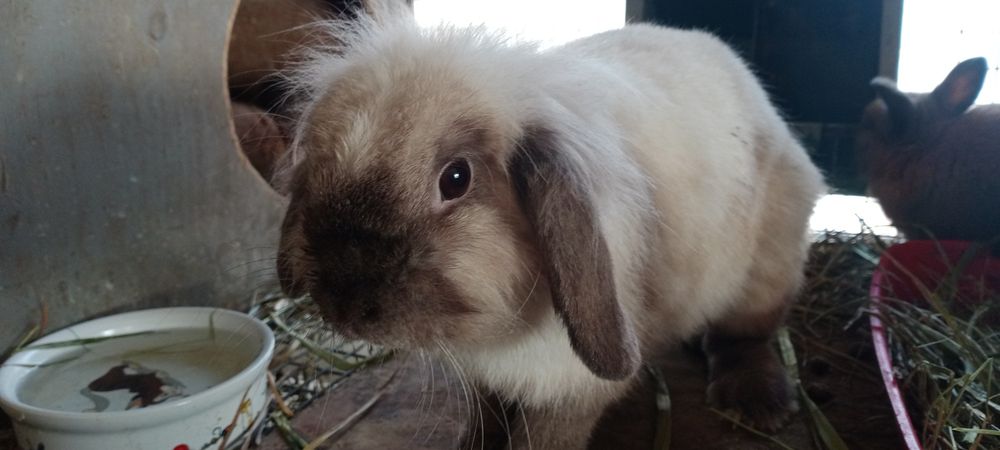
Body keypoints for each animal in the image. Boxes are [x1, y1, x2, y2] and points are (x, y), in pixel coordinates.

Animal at [273, 6, 825, 449]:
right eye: (317, 169)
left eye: (456, 178)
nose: (343, 307)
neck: (496, 336)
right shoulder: (484, 383)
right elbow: (486, 421)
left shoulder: (572, 387)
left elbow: (541, 438)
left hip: (767, 270)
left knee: (746, 336)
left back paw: (756, 404)